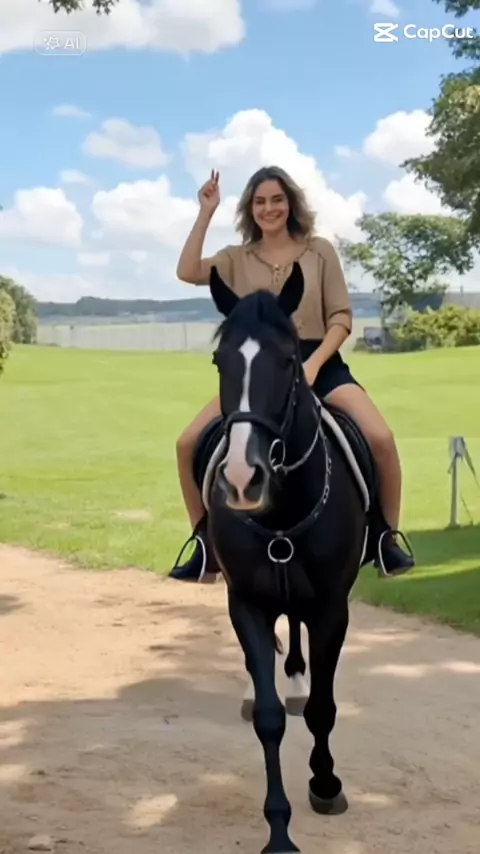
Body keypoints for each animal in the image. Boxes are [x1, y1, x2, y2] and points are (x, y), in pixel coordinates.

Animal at [192, 261, 384, 854]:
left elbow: (323, 706)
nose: (240, 478)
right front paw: (278, 829)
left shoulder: (331, 610)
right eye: (220, 361)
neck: (282, 516)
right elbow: (270, 719)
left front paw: (325, 784)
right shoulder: (246, 605)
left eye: (289, 359)